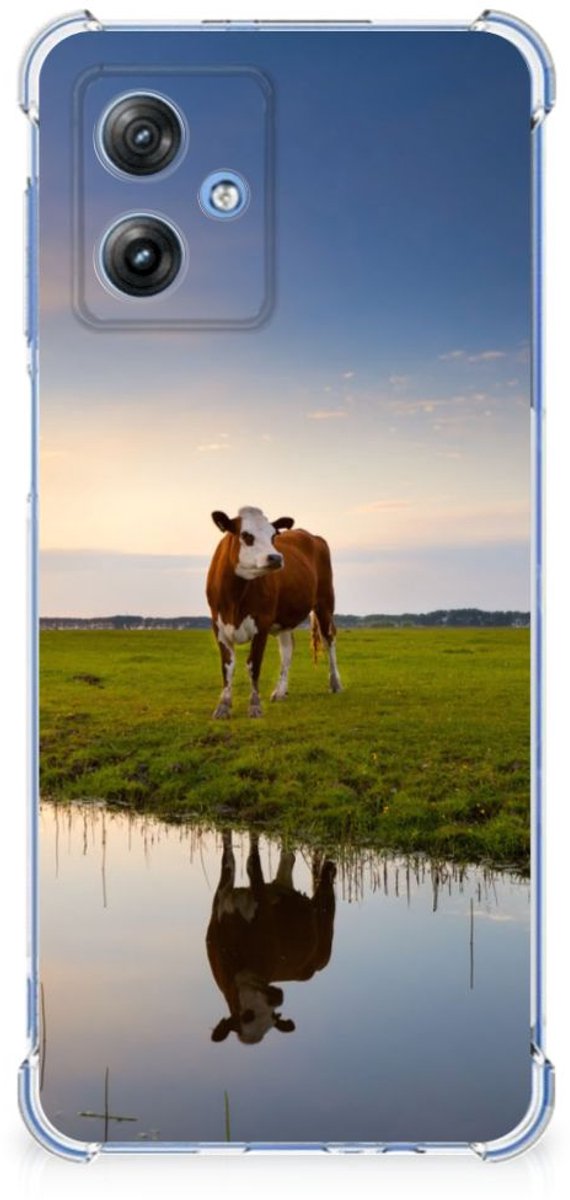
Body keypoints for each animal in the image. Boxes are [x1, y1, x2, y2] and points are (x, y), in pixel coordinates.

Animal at [206, 506, 342, 718]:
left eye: (273, 536)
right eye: (246, 535)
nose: (276, 558)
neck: (235, 597)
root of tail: (312, 535)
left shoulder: (262, 623)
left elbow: (253, 664)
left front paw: (254, 706)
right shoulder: (218, 626)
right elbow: (227, 666)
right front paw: (223, 706)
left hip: (325, 603)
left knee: (329, 639)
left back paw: (335, 683)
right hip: (285, 619)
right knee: (287, 649)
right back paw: (280, 691)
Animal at [206, 831, 336, 1045]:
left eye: (273, 1016)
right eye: (246, 1015)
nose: (278, 998)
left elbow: (252, 863)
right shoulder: (220, 900)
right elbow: (228, 859)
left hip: (325, 926)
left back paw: (330, 866)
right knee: (288, 857)